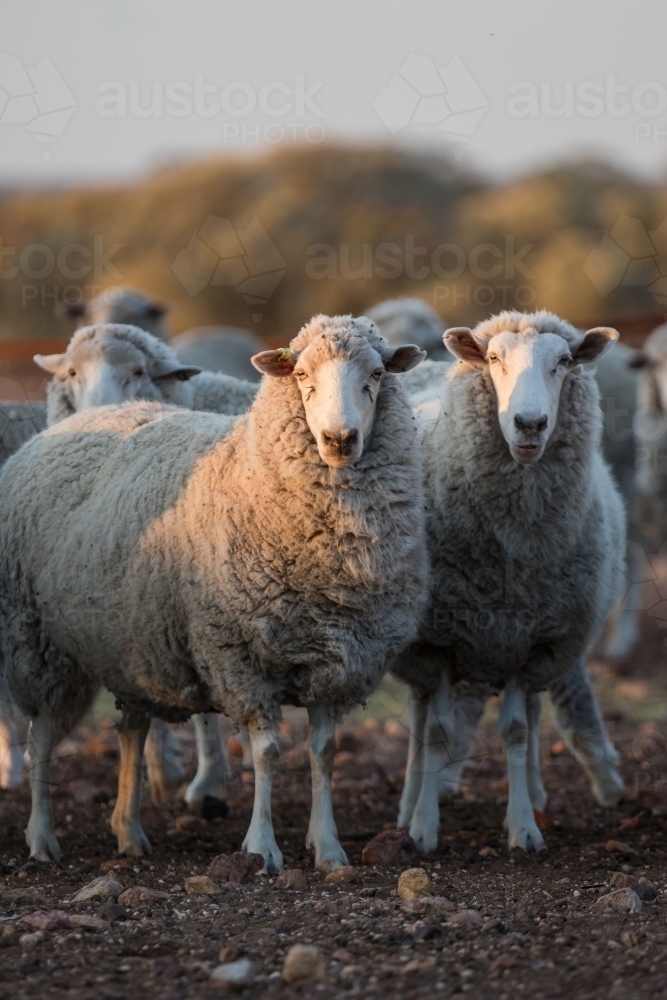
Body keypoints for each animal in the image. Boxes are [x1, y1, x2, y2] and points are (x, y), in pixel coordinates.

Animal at [0, 312, 428, 868]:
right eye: (302, 376)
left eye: (376, 374)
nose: (340, 439)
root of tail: (67, 425)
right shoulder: (238, 656)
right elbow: (267, 752)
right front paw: (262, 847)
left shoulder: (336, 661)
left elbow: (324, 753)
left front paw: (329, 847)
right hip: (40, 643)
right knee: (42, 739)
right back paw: (42, 837)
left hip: (129, 642)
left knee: (131, 730)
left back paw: (128, 831)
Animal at [392, 306, 628, 852]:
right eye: (494, 360)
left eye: (563, 362)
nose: (530, 424)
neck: (511, 557)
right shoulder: (439, 642)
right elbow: (436, 734)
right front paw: (424, 828)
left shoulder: (531, 639)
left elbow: (518, 730)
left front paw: (523, 827)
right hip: (417, 652)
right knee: (419, 716)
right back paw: (409, 804)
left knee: (536, 715)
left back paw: (538, 796)